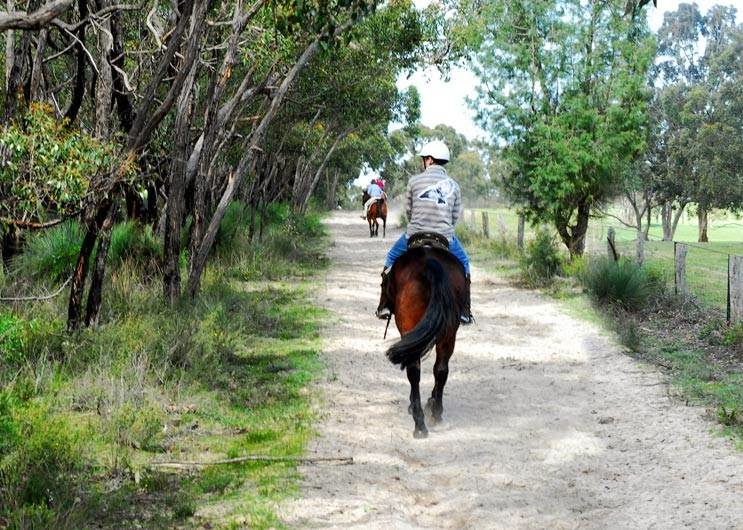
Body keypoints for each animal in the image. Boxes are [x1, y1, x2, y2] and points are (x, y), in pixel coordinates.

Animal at [384, 233, 464, 436]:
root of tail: (430, 264)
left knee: (414, 370)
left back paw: (420, 421)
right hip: (449, 331)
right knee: (440, 369)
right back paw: (435, 415)